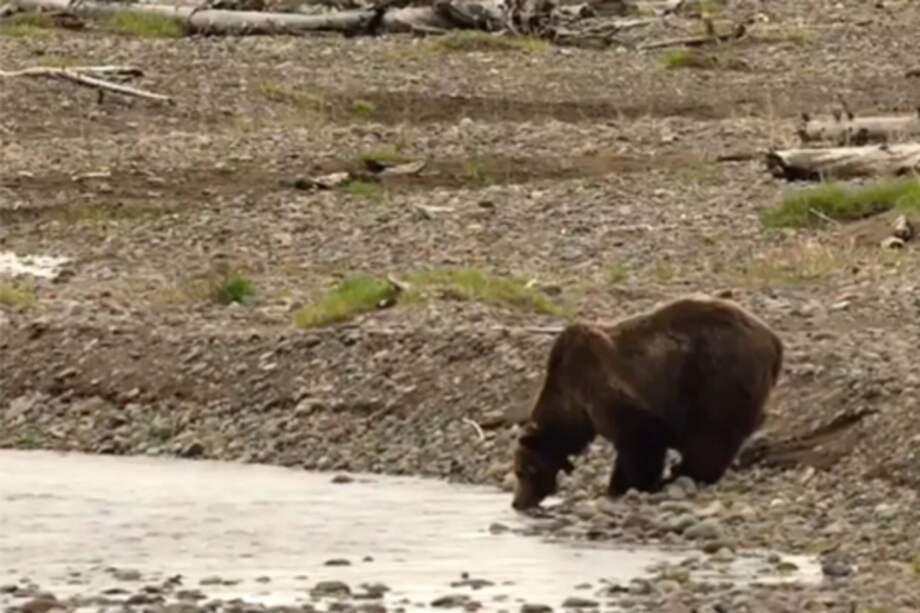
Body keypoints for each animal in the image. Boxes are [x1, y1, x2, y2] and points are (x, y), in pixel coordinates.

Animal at [510, 293, 783, 511]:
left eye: (523, 470)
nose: (517, 502)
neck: (573, 405)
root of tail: (773, 340)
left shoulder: (611, 390)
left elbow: (640, 441)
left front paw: (624, 486)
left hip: (717, 376)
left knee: (711, 435)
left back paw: (683, 474)